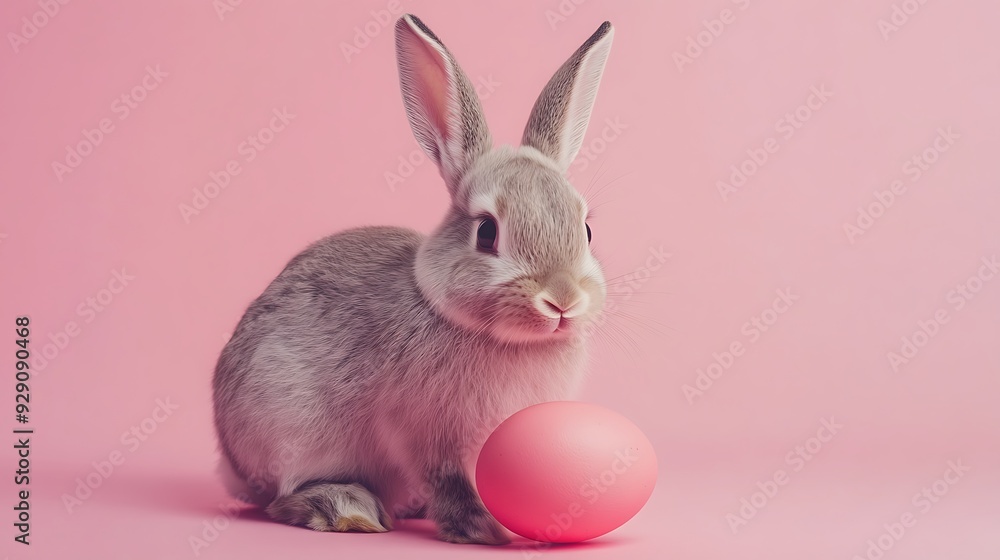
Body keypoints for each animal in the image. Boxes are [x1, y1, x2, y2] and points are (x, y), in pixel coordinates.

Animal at [213, 14, 614, 545]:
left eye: (586, 230)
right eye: (487, 232)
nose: (562, 299)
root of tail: (230, 465)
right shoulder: (422, 433)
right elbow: (447, 479)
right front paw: (483, 529)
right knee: (280, 499)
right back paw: (347, 509)